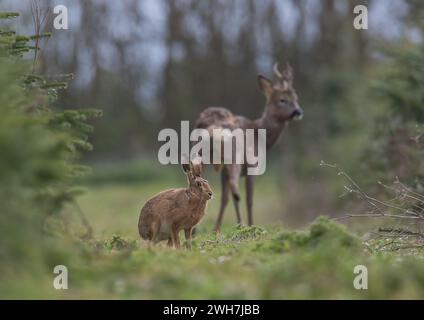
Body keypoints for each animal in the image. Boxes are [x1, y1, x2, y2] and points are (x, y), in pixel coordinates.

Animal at [194, 63, 304, 232]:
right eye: (282, 100)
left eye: (296, 98)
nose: (298, 112)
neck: (260, 135)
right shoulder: (252, 165)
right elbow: (249, 199)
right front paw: (252, 226)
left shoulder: (223, 171)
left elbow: (224, 198)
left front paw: (216, 230)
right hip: (234, 158)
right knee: (236, 190)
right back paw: (242, 224)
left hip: (200, 153)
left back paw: (194, 231)